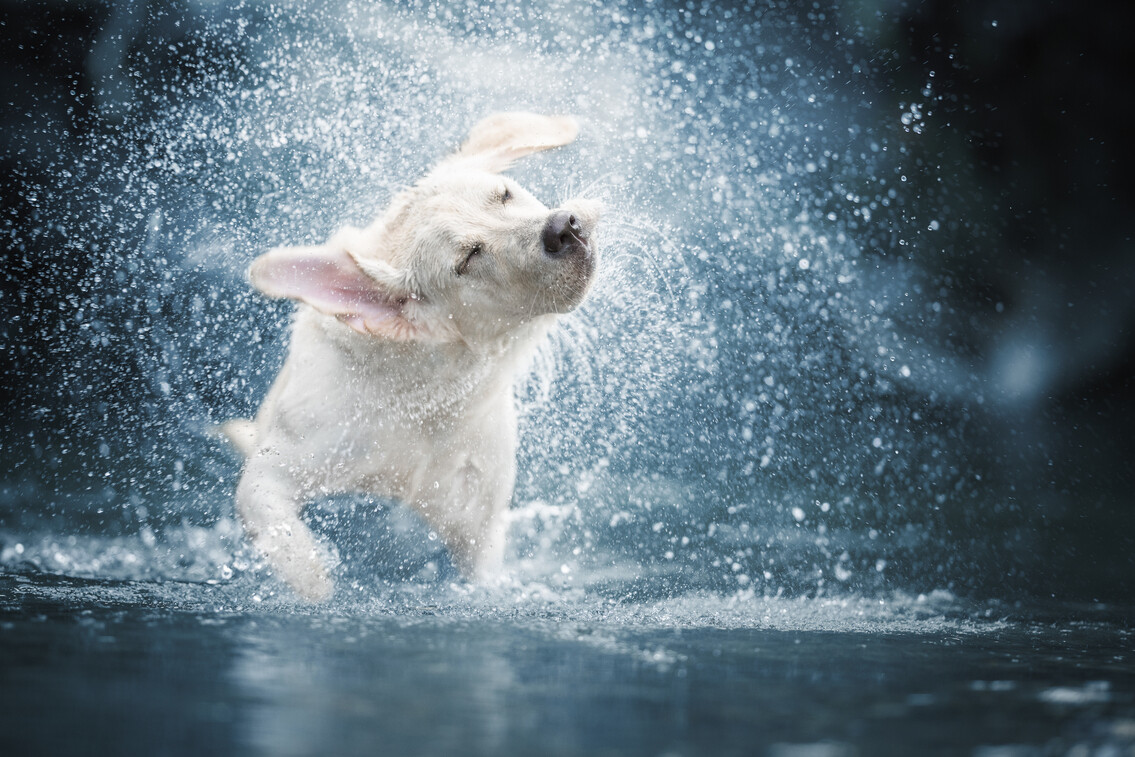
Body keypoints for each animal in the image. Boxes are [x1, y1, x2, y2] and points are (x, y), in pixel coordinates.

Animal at [216, 112, 599, 599]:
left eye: (505, 193)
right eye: (468, 258)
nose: (563, 227)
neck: (426, 396)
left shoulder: (480, 518)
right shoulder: (285, 459)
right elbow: (285, 538)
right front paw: (318, 582)